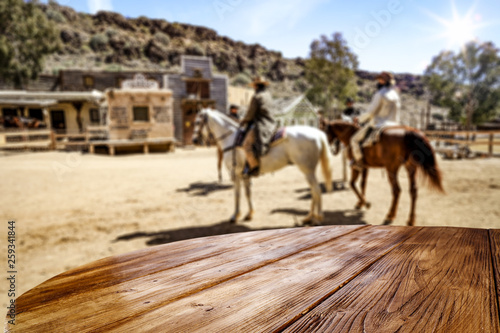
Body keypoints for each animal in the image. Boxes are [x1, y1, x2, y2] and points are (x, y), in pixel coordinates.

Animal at [193, 107, 334, 224]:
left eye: (197, 122)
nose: (194, 140)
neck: (232, 139)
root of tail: (318, 134)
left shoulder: (236, 173)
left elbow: (237, 194)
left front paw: (235, 215)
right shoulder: (245, 175)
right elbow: (247, 193)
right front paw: (249, 214)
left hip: (307, 170)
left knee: (316, 190)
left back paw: (318, 218)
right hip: (308, 171)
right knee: (313, 191)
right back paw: (309, 217)